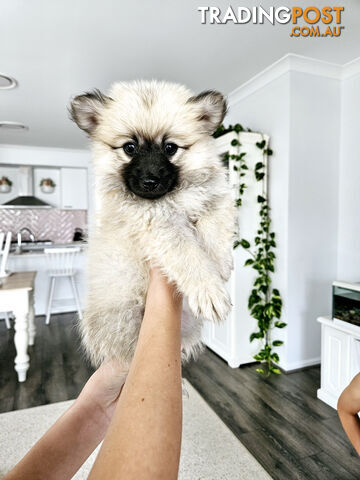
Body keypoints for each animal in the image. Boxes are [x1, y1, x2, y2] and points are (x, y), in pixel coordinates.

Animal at [70, 79, 235, 368]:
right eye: (130, 148)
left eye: (170, 148)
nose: (150, 181)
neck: (173, 195)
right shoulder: (160, 227)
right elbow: (190, 255)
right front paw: (209, 289)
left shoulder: (214, 198)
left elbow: (216, 226)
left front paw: (220, 264)